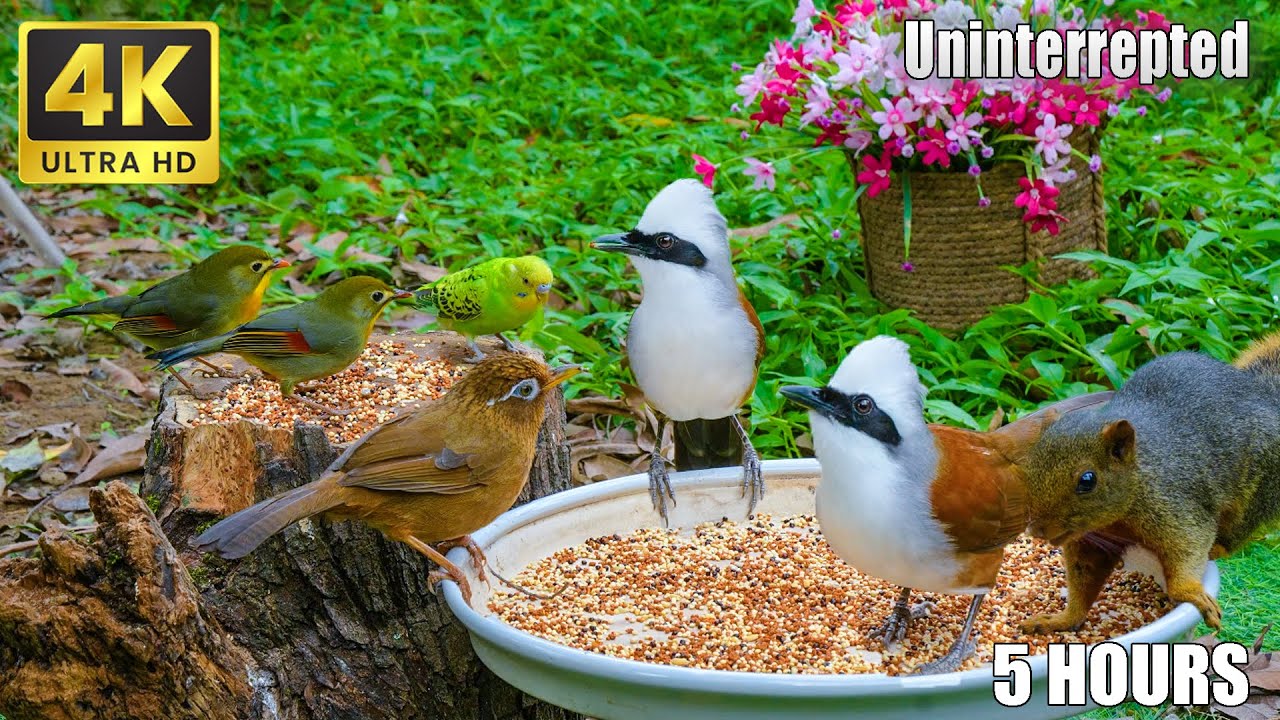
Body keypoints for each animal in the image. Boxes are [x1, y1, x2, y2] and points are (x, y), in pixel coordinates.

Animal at [1019, 332, 1280, 634]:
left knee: (1240, 529)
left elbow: (1190, 546)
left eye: (1088, 480)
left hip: (1259, 485)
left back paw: (1219, 548)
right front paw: (1059, 620)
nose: (1036, 529)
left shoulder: (1178, 508)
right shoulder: (1094, 541)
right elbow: (1084, 582)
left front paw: (1190, 591)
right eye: (1030, 463)